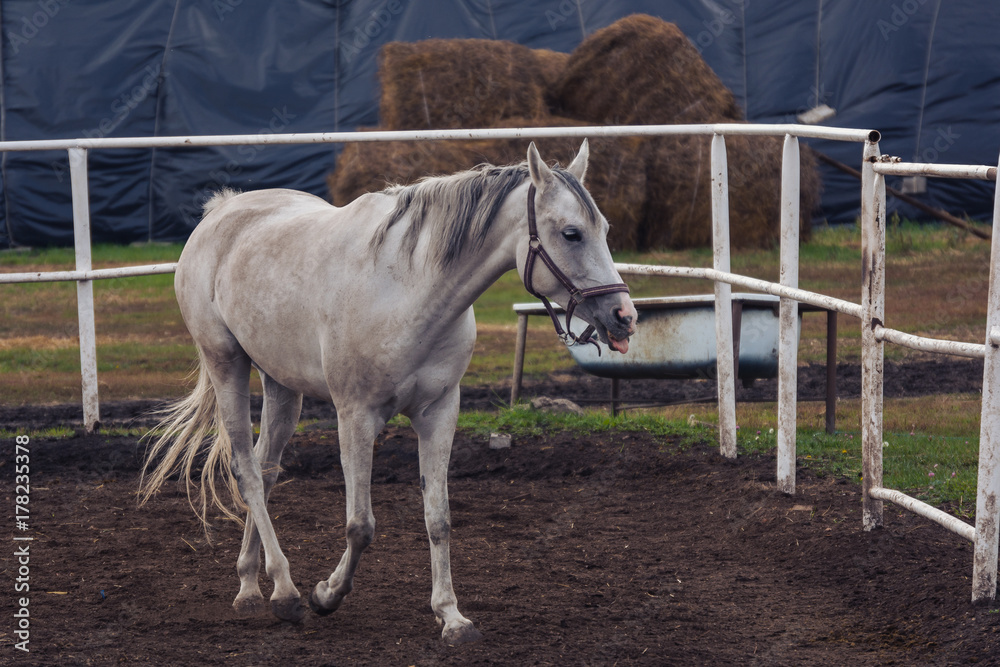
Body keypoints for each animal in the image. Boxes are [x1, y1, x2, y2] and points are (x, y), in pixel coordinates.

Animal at [140, 140, 637, 644]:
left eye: (605, 229)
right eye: (572, 233)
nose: (625, 316)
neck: (407, 288)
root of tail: (220, 212)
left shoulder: (439, 413)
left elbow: (439, 519)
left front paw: (451, 617)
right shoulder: (355, 417)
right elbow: (361, 526)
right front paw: (325, 595)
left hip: (281, 387)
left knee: (265, 468)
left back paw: (248, 586)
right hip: (227, 366)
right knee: (247, 472)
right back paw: (284, 593)